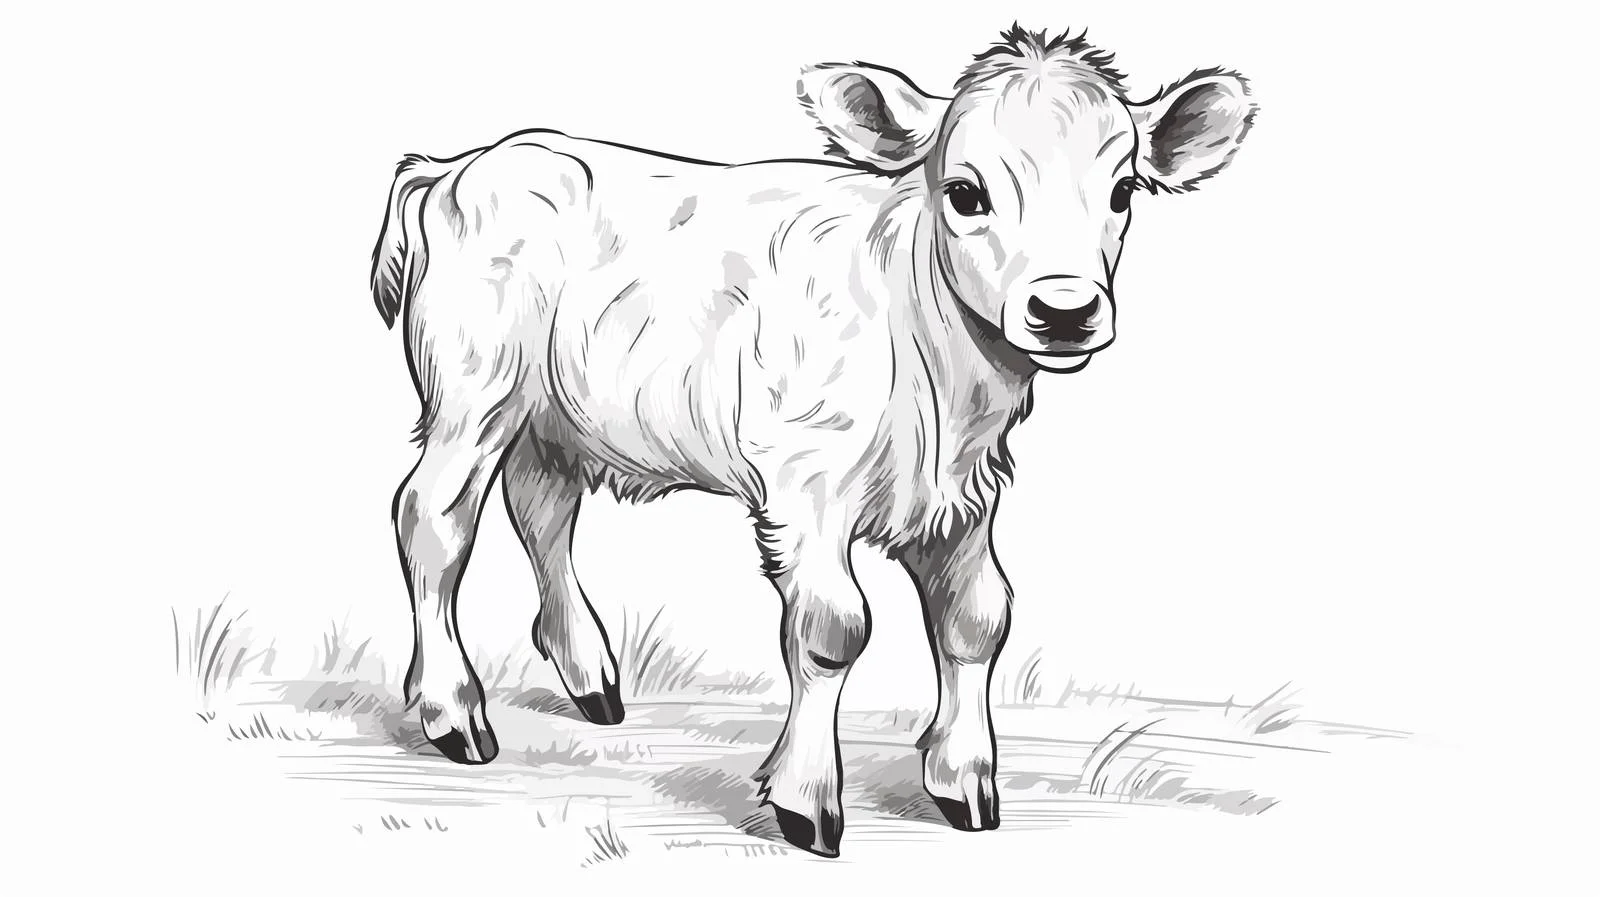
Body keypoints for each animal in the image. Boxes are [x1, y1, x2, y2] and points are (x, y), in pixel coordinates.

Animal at [369, 25, 1256, 857]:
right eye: (965, 193)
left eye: (1122, 190)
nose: (1065, 310)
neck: (934, 367)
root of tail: (459, 165)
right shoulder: (807, 484)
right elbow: (833, 629)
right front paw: (806, 799)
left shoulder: (965, 493)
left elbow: (978, 616)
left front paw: (963, 779)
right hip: (473, 393)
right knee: (433, 518)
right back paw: (455, 713)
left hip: (551, 413)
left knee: (542, 508)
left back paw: (590, 676)